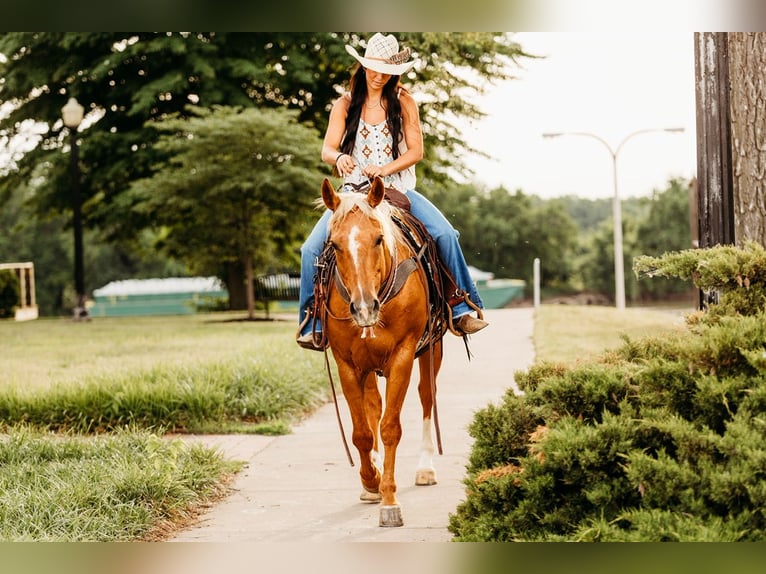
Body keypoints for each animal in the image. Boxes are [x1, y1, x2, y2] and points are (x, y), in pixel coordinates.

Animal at [320, 177, 448, 532]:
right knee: (373, 407)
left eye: (378, 238)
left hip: (432, 350)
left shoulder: (402, 357)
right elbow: (363, 431)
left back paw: (425, 468)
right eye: (334, 244)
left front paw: (390, 501)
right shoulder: (347, 364)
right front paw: (371, 481)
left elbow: (391, 427)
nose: (364, 308)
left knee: (427, 397)